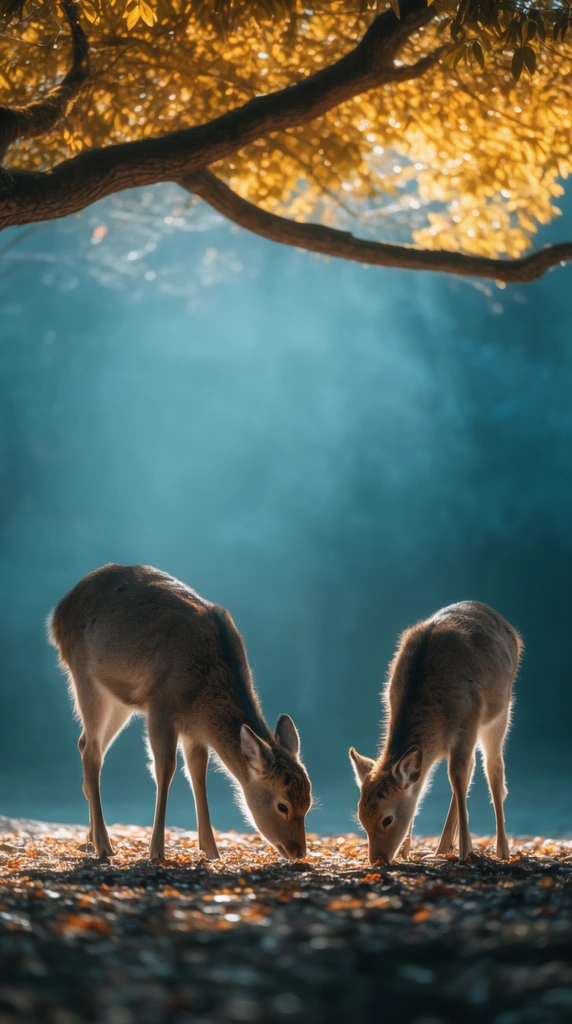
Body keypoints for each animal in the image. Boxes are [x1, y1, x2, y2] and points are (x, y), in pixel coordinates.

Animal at [49, 563, 312, 862]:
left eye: (309, 803)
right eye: (283, 805)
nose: (299, 851)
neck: (199, 697)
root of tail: (57, 614)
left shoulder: (194, 730)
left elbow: (198, 773)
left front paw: (211, 851)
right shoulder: (160, 705)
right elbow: (165, 768)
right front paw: (157, 851)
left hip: (118, 700)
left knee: (86, 745)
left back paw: (92, 841)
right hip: (84, 676)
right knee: (92, 751)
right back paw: (104, 846)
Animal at [349, 601, 522, 865]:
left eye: (387, 819)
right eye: (361, 818)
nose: (378, 860)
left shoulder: (468, 721)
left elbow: (458, 775)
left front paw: (465, 851)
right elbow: (424, 787)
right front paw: (406, 851)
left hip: (500, 713)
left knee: (493, 770)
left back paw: (502, 850)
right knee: (472, 768)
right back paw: (442, 849)